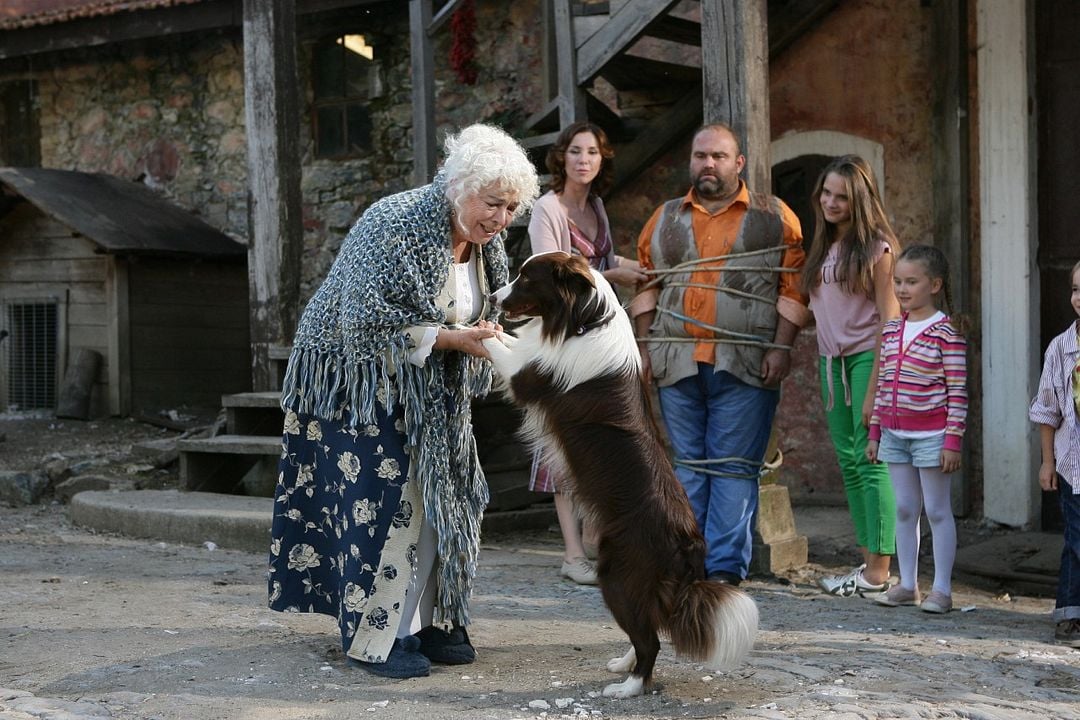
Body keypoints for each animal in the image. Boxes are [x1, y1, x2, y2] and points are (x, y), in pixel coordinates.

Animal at [483, 252, 760, 699]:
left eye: (525, 278)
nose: (493, 297)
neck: (584, 318)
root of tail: (689, 541)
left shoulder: (529, 375)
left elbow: (496, 347)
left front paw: (459, 329)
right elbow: (508, 341)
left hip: (616, 573)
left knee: (650, 639)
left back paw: (629, 687)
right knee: (651, 626)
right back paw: (624, 664)